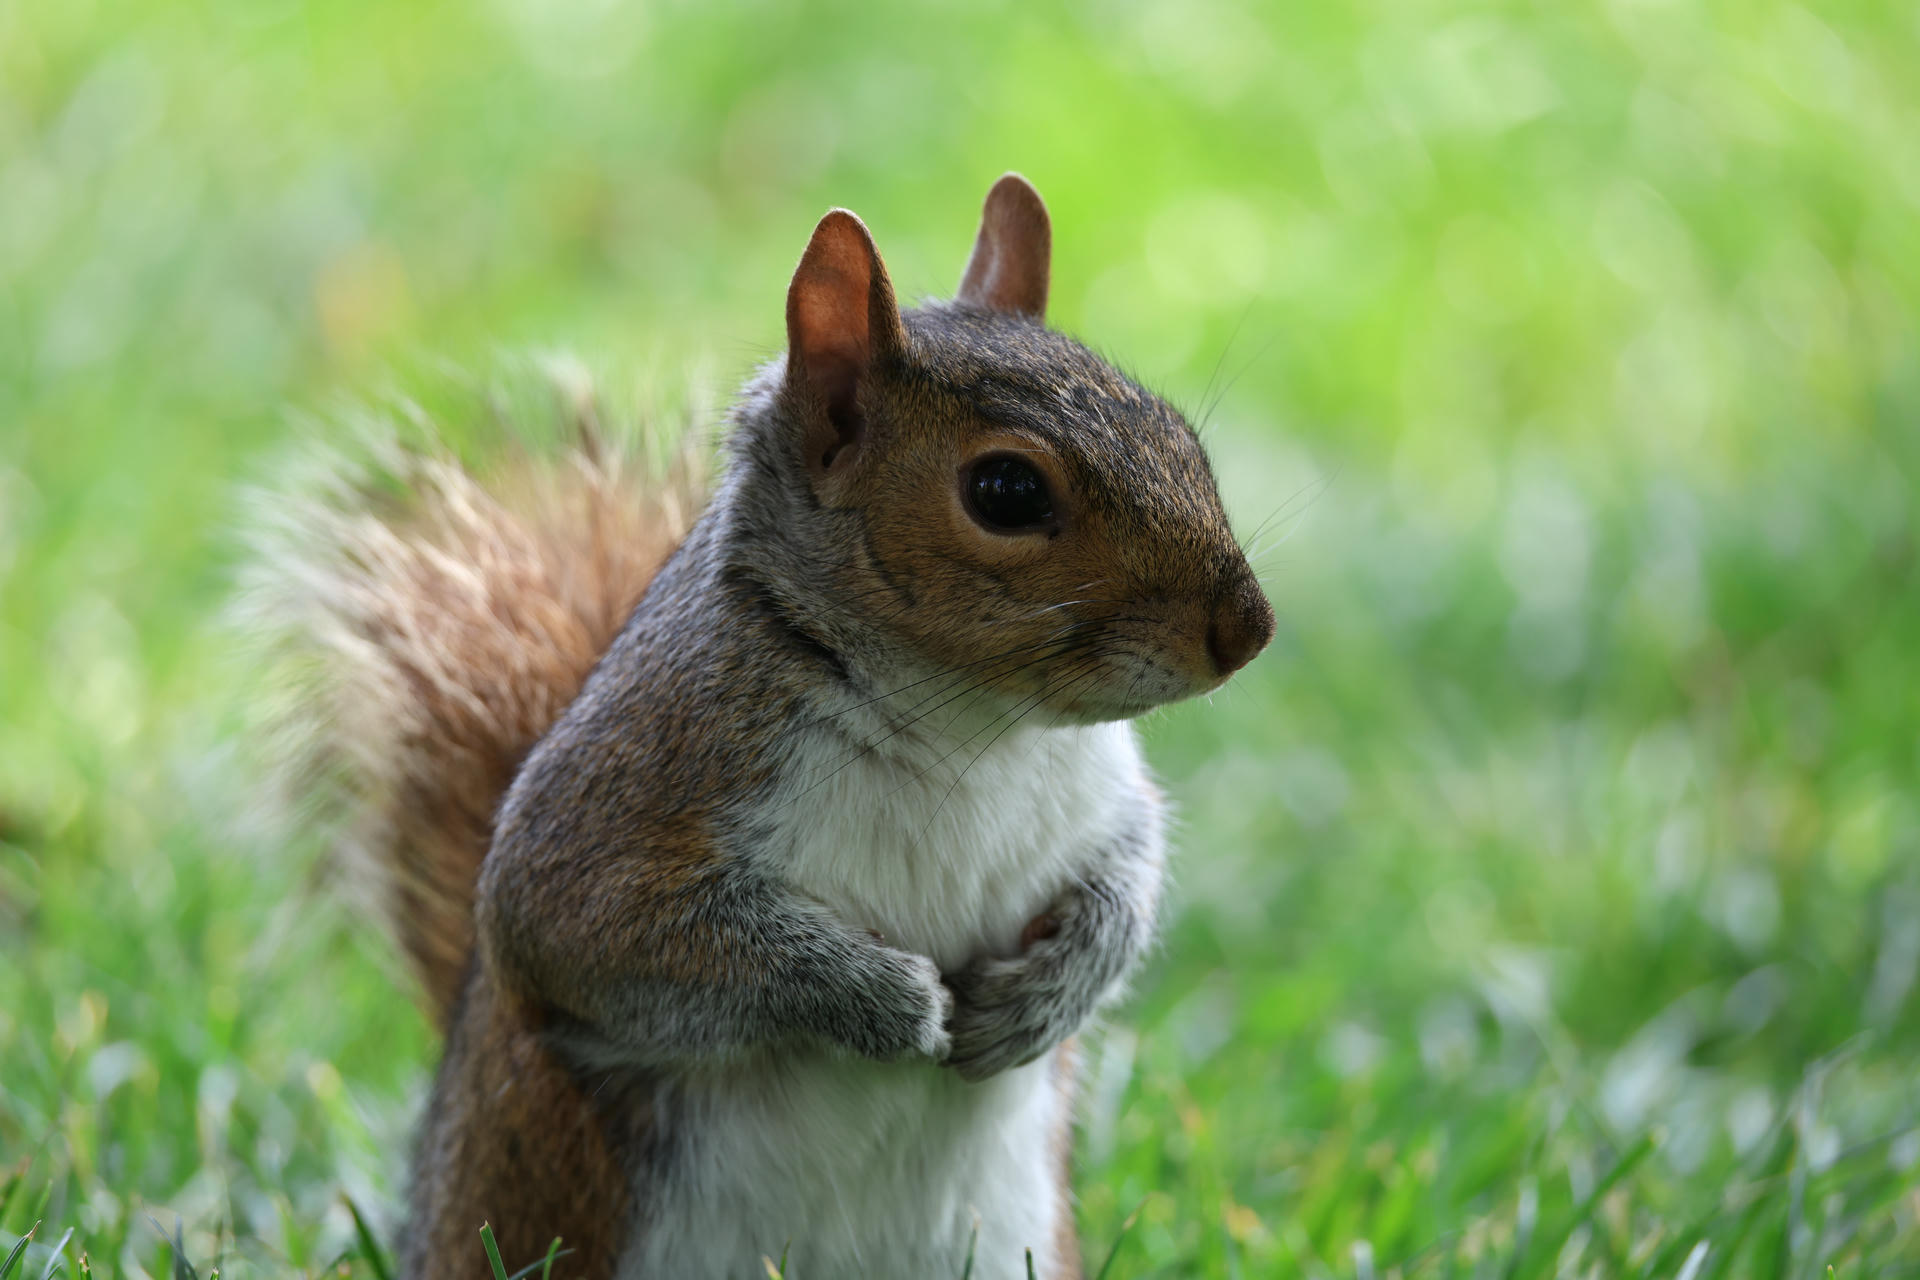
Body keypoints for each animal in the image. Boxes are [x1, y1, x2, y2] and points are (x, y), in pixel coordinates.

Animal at [253, 174, 1274, 1279]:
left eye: (1183, 438)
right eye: (1006, 490)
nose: (1248, 630)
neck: (969, 723)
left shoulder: (1102, 800)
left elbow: (1128, 881)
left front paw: (1041, 998)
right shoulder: (629, 791)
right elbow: (589, 932)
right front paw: (886, 1000)